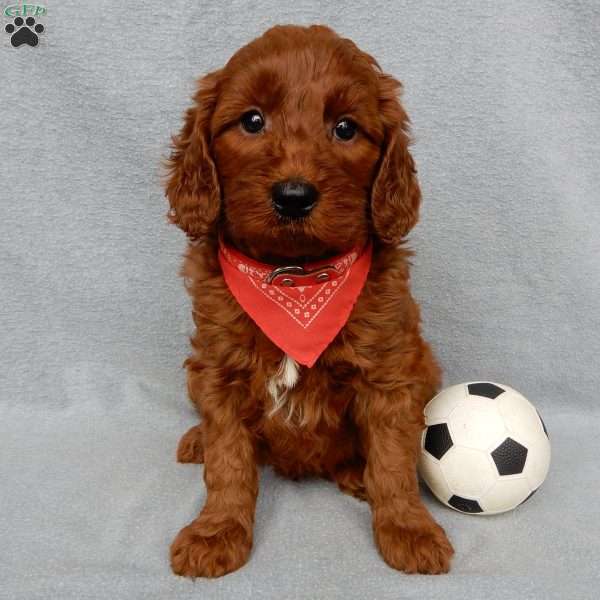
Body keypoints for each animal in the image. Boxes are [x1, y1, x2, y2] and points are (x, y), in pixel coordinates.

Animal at [162, 23, 452, 576]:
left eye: (345, 128)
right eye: (252, 120)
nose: (293, 196)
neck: (294, 279)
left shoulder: (389, 374)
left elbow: (393, 459)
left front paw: (408, 527)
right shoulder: (219, 370)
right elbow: (229, 461)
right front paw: (217, 530)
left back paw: (356, 472)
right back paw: (197, 441)